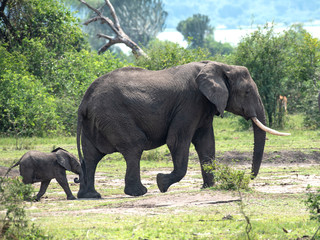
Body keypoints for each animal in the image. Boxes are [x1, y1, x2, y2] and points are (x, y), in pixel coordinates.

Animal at [76, 61, 288, 198]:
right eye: (247, 92)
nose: (249, 176)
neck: (219, 66)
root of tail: (84, 101)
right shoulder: (190, 102)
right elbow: (177, 141)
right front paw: (161, 183)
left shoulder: (203, 106)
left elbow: (206, 144)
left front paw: (208, 187)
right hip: (114, 116)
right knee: (134, 147)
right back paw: (138, 192)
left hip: (95, 121)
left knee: (92, 156)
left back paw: (90, 195)